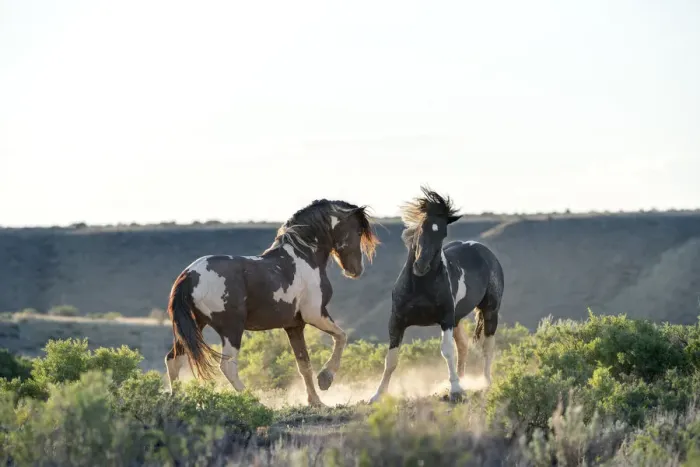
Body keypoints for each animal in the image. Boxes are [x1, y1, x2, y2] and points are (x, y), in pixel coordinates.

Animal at [164, 199, 380, 406]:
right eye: (358, 231)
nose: (355, 270)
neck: (304, 257)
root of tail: (189, 275)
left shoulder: (294, 326)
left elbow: (304, 365)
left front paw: (316, 401)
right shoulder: (315, 314)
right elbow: (341, 337)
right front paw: (325, 379)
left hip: (195, 326)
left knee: (174, 359)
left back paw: (177, 401)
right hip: (231, 329)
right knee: (227, 366)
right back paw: (255, 403)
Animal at [369, 186, 504, 403]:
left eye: (442, 233)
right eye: (421, 227)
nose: (421, 265)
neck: (420, 286)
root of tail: (481, 249)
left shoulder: (445, 319)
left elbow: (447, 351)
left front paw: (455, 390)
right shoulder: (396, 321)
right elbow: (391, 359)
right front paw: (377, 395)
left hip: (490, 311)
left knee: (487, 347)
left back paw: (485, 383)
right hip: (458, 319)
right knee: (463, 346)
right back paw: (463, 380)